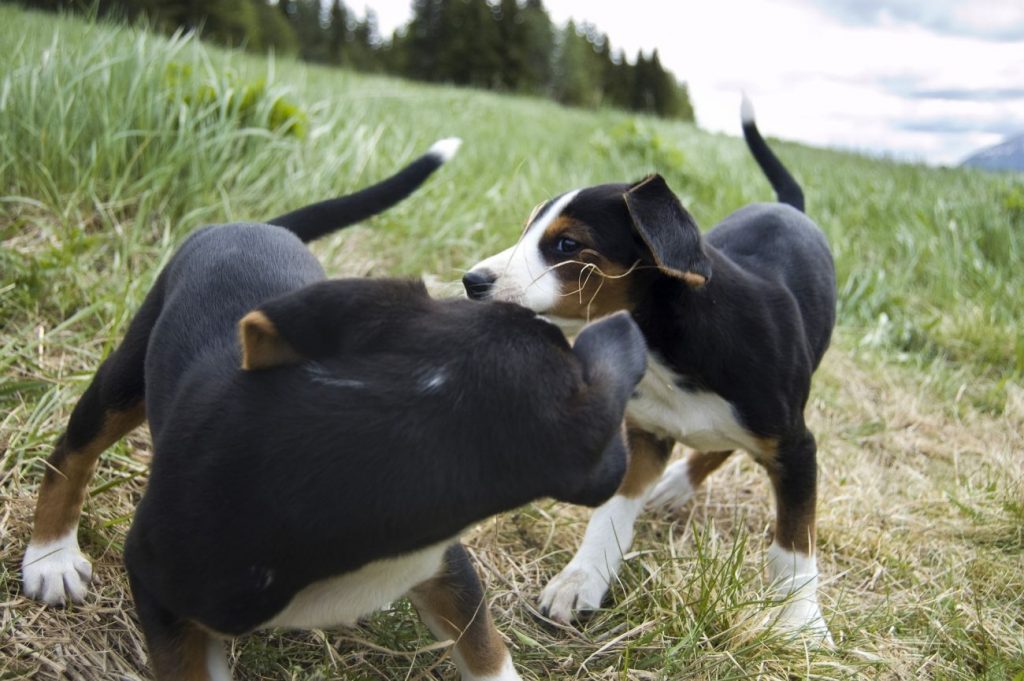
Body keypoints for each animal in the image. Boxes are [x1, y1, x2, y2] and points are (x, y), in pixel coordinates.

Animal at [19, 139, 647, 679]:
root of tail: (262, 225)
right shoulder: (161, 586)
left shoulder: (445, 564)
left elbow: (482, 643)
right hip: (126, 372)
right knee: (73, 450)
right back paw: (51, 558)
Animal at [464, 98, 839, 639]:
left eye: (567, 246)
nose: (472, 281)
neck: (670, 351)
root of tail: (788, 205)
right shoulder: (644, 433)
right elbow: (611, 513)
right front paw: (582, 577)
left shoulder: (796, 446)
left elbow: (793, 546)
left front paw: (800, 623)